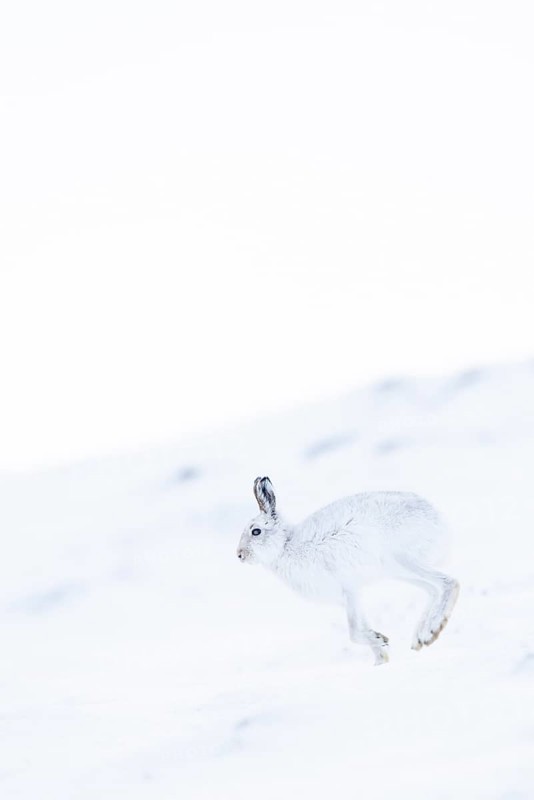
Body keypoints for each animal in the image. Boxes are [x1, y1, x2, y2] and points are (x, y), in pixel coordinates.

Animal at [237, 477, 459, 665]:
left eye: (255, 531)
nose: (239, 554)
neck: (284, 546)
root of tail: (438, 519)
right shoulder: (350, 598)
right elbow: (362, 627)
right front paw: (380, 661)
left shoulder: (349, 590)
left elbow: (353, 633)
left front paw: (380, 641)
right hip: (397, 570)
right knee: (433, 590)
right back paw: (420, 637)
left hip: (401, 559)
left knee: (449, 582)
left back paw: (431, 630)